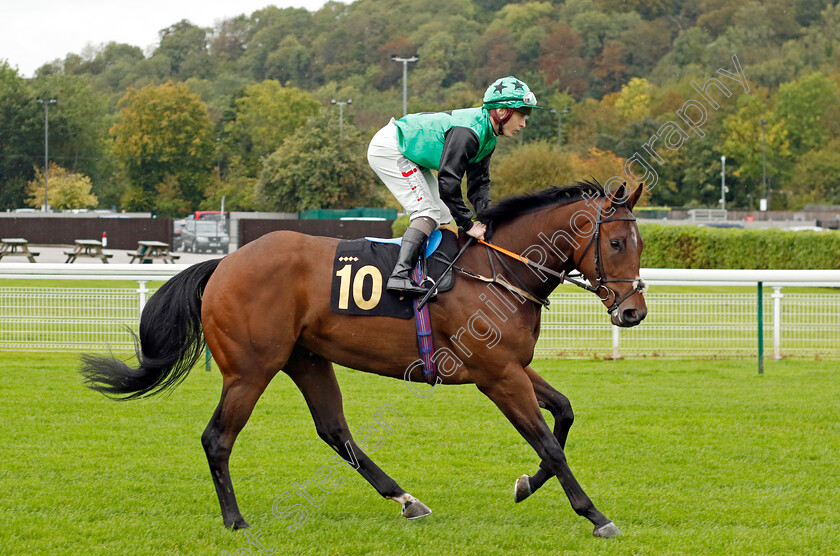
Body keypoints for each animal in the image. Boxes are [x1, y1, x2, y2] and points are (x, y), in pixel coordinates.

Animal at [82, 180, 648, 536]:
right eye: (619, 242)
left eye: (640, 243)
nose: (634, 312)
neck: (497, 271)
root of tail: (224, 261)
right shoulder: (497, 375)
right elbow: (550, 443)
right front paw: (595, 515)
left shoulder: (514, 366)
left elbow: (564, 413)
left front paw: (526, 485)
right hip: (251, 368)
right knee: (217, 438)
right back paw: (236, 521)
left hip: (307, 358)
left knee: (335, 431)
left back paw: (406, 499)